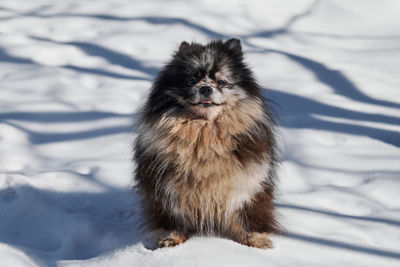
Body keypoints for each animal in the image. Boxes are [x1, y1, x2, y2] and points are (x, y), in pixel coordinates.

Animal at [133, 37, 280, 249]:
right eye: (191, 81)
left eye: (221, 82)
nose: (205, 88)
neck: (205, 133)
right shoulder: (167, 188)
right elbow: (174, 217)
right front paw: (171, 239)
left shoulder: (248, 185)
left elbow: (245, 215)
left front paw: (254, 240)